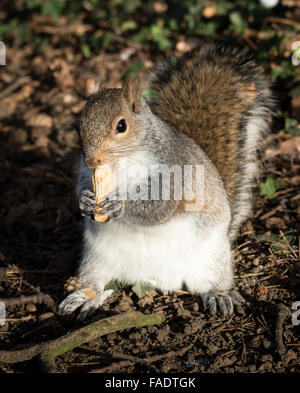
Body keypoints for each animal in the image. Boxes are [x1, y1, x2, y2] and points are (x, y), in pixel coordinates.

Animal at [58, 43, 274, 320]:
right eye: (78, 127)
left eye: (121, 125)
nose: (92, 159)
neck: (122, 162)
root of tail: (157, 280)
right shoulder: (87, 173)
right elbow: (81, 188)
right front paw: (85, 201)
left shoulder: (174, 172)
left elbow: (159, 206)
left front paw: (119, 206)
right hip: (95, 260)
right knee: (98, 284)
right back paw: (84, 297)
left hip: (212, 257)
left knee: (212, 280)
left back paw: (219, 294)